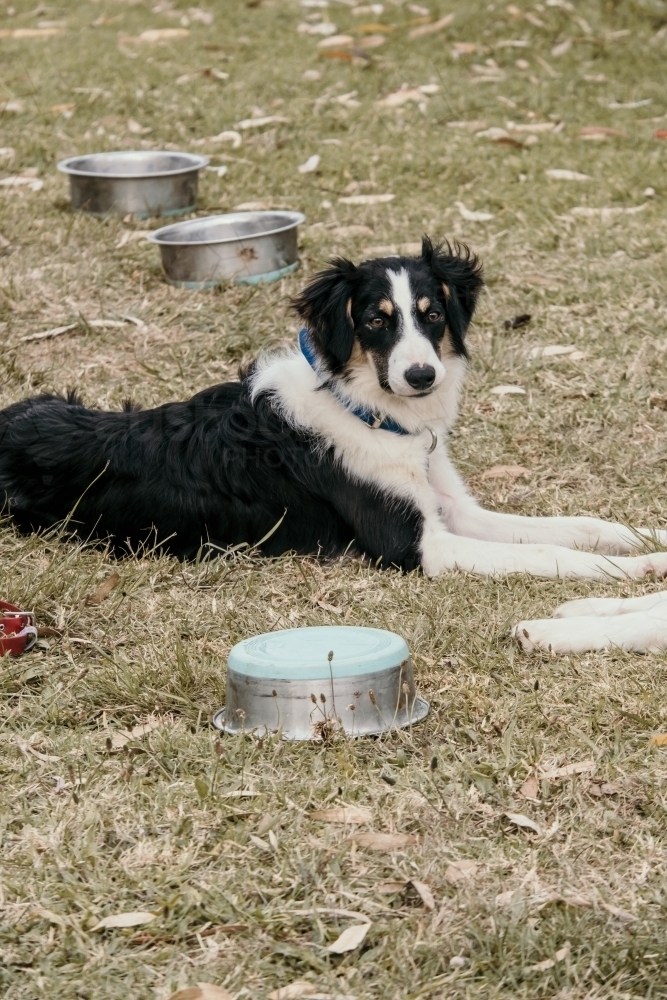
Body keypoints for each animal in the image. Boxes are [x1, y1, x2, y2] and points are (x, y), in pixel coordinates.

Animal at [1, 237, 667, 584]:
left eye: (431, 314)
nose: (421, 376)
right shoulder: (415, 546)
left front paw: (649, 539)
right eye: (374, 320)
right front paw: (637, 569)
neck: (367, 410)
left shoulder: (452, 511)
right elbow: (552, 553)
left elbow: (575, 526)